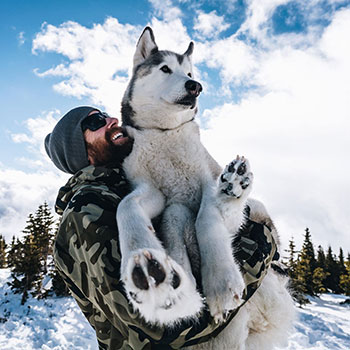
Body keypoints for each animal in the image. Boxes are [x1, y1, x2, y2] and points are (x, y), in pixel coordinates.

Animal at [117, 28, 296, 350]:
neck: (165, 134)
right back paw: (174, 290)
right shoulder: (150, 190)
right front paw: (143, 260)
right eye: (165, 69)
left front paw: (220, 280)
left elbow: (206, 218)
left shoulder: (205, 179)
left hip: (257, 211)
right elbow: (125, 206)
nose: (195, 86)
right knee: (176, 219)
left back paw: (232, 188)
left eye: (189, 73)